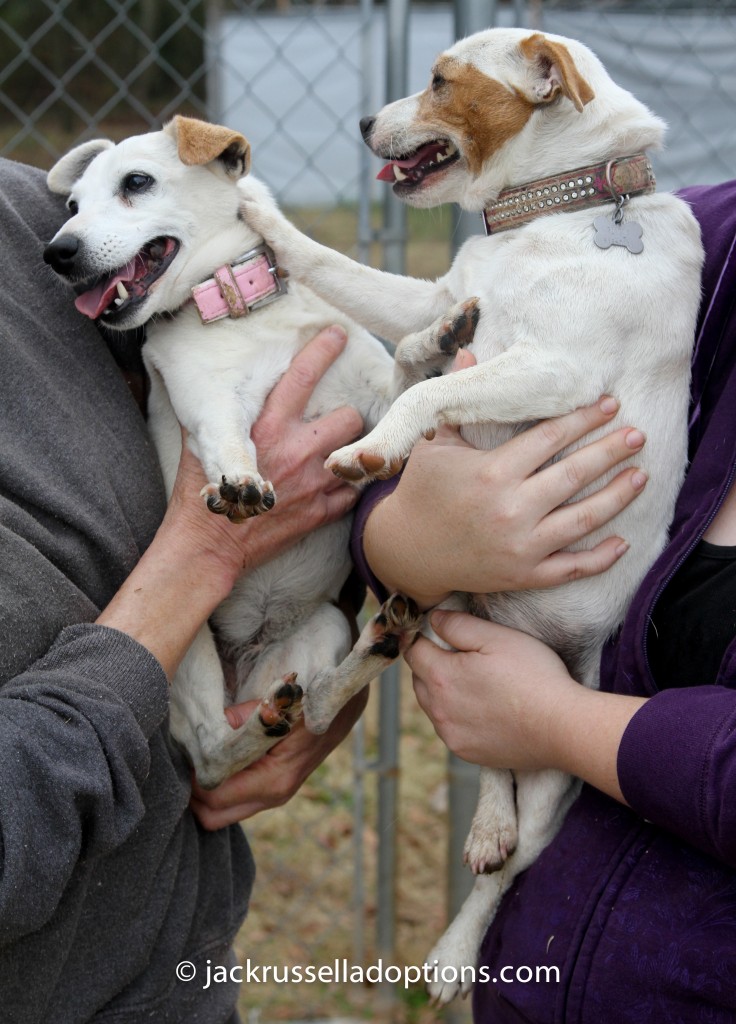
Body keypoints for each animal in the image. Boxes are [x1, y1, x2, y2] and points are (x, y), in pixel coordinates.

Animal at [43, 116, 462, 786]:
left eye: (136, 182)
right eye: (72, 207)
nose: (57, 252)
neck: (244, 308)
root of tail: (245, 675)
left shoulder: (369, 405)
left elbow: (402, 381)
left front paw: (432, 342)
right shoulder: (203, 398)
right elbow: (226, 434)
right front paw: (239, 479)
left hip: (324, 625)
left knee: (314, 709)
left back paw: (367, 654)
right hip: (186, 652)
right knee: (214, 753)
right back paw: (254, 731)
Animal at [244, 29, 704, 999]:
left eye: (439, 82)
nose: (361, 121)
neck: (554, 213)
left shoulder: (558, 371)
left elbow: (432, 393)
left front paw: (373, 447)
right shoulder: (432, 296)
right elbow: (340, 271)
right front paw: (261, 212)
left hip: (560, 770)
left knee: (511, 864)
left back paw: (455, 954)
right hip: (453, 628)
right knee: (483, 762)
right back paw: (473, 813)